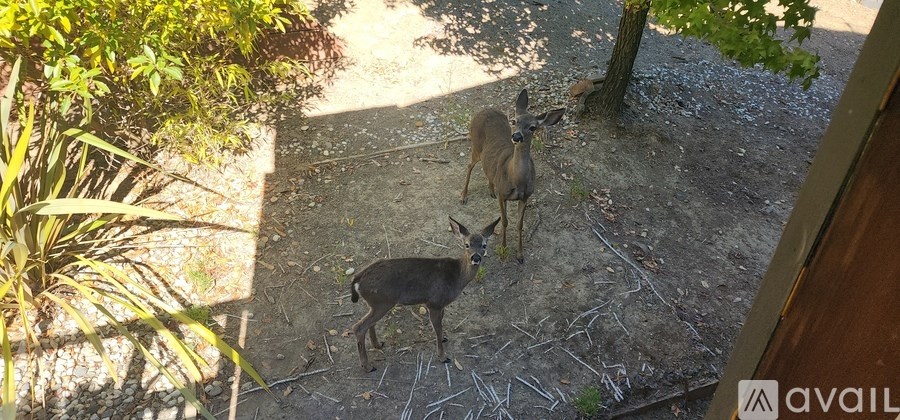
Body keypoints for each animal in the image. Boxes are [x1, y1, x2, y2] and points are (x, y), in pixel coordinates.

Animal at [349, 216, 501, 372]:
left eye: (484, 245)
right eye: (467, 245)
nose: (475, 258)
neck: (457, 277)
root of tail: (357, 279)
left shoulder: (441, 304)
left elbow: (440, 325)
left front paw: (444, 338)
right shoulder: (434, 303)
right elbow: (437, 329)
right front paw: (442, 356)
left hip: (376, 303)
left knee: (369, 323)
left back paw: (378, 345)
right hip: (383, 301)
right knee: (358, 327)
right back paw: (367, 366)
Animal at [461, 89, 566, 263]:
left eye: (532, 127)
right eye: (514, 121)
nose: (516, 136)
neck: (516, 180)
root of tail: (484, 109)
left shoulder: (526, 196)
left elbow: (519, 225)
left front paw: (520, 255)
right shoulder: (503, 195)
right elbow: (504, 221)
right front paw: (503, 249)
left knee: (486, 168)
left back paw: (490, 190)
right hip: (475, 145)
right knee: (469, 165)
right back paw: (463, 196)